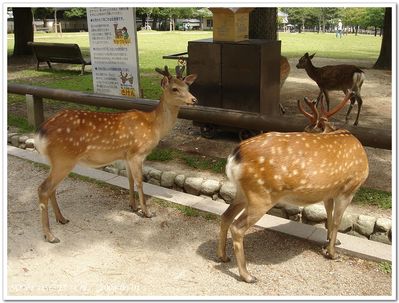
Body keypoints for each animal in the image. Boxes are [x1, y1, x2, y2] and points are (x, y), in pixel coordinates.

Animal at [35, 66, 198, 245]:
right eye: (174, 88)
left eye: (187, 86)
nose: (194, 99)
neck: (154, 126)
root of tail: (40, 132)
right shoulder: (137, 153)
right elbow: (140, 181)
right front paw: (146, 212)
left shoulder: (126, 155)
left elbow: (130, 180)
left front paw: (133, 206)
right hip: (64, 159)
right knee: (43, 189)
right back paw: (50, 235)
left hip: (56, 161)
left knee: (51, 189)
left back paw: (62, 219)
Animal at [217, 93, 370, 284]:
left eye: (307, 129)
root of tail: (235, 156)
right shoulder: (349, 188)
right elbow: (336, 221)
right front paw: (332, 253)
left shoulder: (329, 192)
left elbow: (328, 215)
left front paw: (330, 242)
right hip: (261, 196)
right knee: (237, 227)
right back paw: (247, 275)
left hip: (242, 192)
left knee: (225, 216)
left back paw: (223, 256)